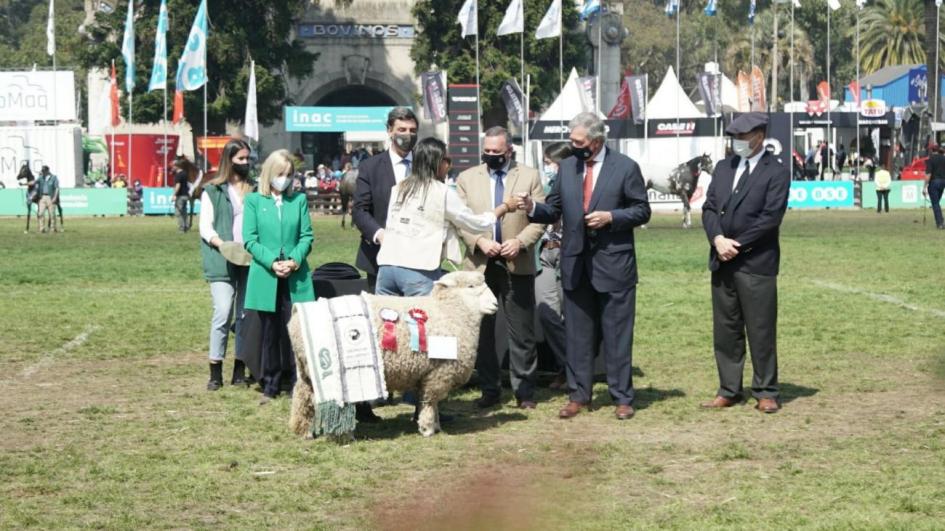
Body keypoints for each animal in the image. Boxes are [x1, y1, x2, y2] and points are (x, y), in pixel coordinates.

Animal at [288, 272, 498, 438]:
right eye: (471, 286)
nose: (495, 304)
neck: (449, 313)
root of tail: (297, 315)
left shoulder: (427, 374)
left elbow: (432, 402)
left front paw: (435, 425)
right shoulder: (438, 372)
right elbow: (430, 401)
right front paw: (428, 428)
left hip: (307, 369)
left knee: (302, 395)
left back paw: (303, 432)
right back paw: (344, 434)